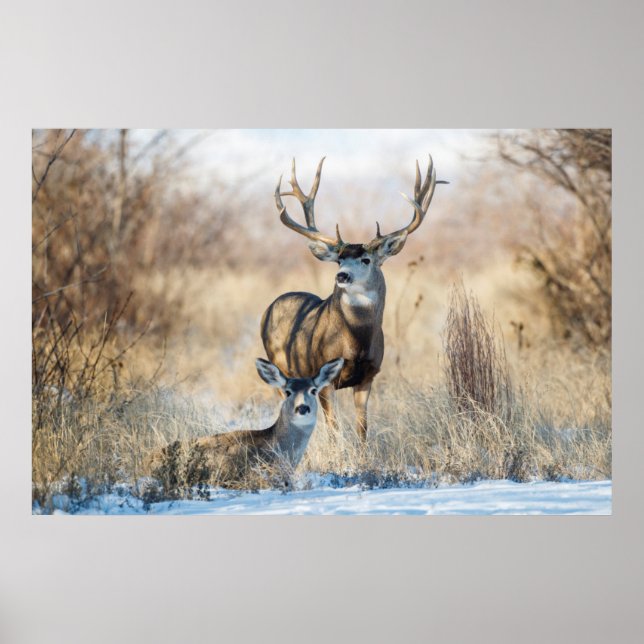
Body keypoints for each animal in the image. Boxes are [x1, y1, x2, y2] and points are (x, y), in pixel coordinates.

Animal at [261, 155, 446, 443]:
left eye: (366, 259)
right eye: (339, 259)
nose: (342, 275)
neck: (355, 341)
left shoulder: (368, 376)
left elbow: (362, 429)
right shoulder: (324, 378)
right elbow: (334, 430)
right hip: (281, 366)